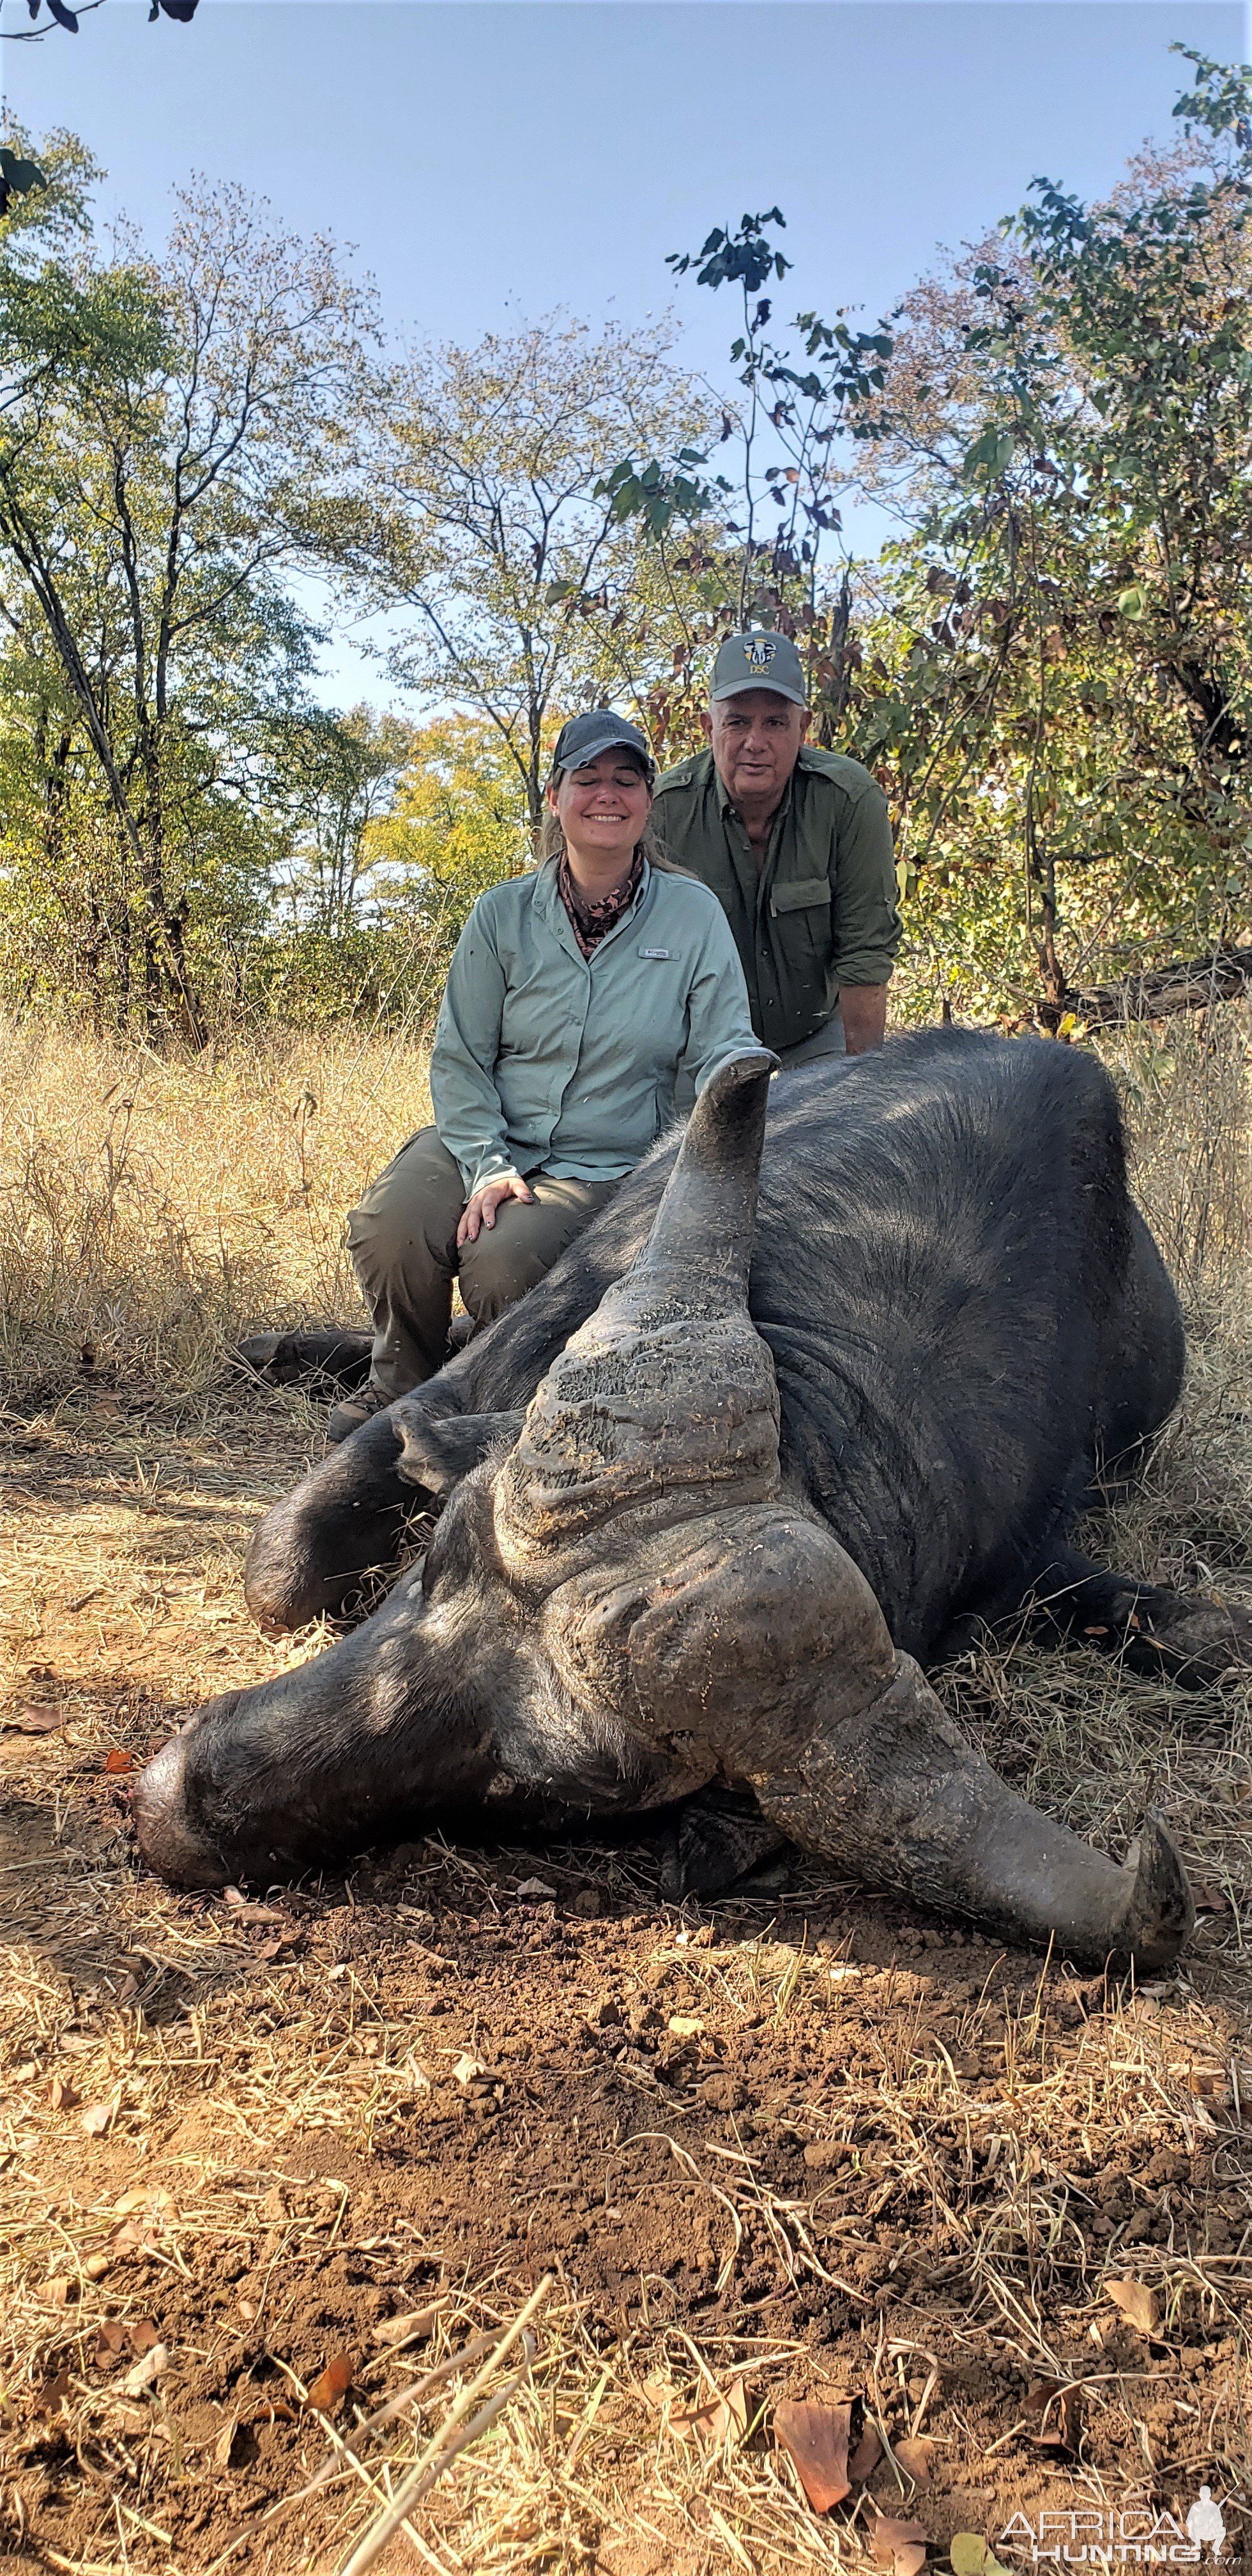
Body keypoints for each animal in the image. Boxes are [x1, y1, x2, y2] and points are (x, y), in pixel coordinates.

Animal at [132, 1035, 1246, 1958]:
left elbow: (1202, 1636)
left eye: (532, 1783)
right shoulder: (465, 1390)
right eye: (439, 1563)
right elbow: (281, 1575)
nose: (170, 1803)